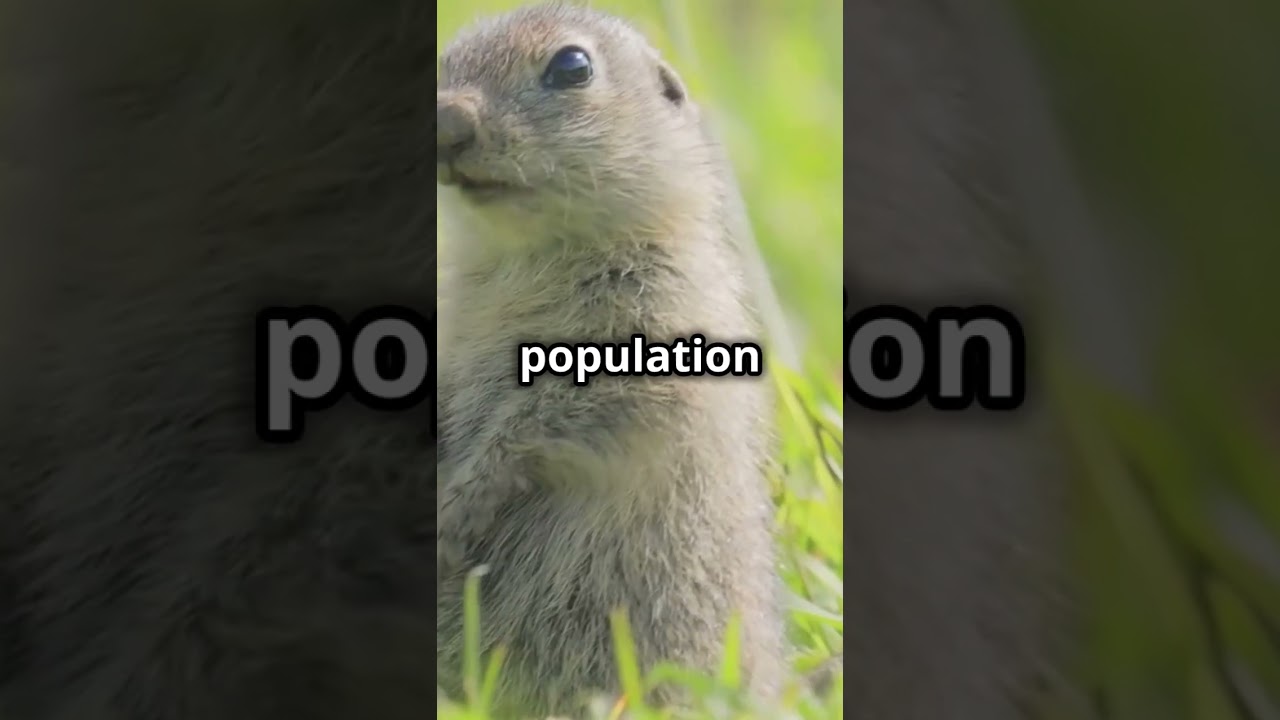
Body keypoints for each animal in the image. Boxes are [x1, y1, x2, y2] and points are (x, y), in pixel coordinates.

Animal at [435, 3, 786, 716]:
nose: (447, 121)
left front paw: (458, 505)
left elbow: (558, 415)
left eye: (572, 66)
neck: (523, 256)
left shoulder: (657, 319)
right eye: (441, 62)